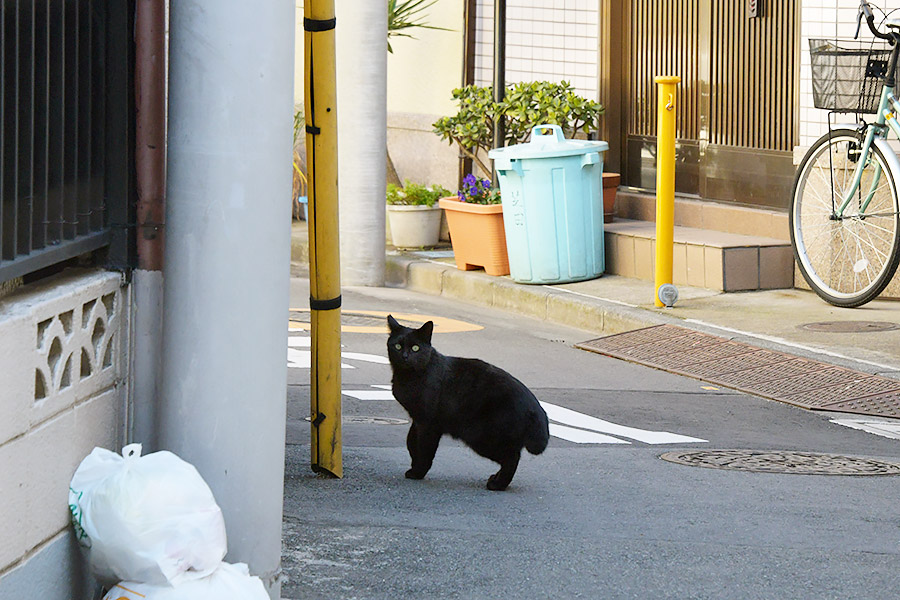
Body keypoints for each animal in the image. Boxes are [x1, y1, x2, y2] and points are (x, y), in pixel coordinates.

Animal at [386, 316, 548, 490]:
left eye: (415, 348)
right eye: (397, 346)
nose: (405, 356)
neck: (410, 376)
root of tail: (536, 408)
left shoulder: (428, 423)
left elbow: (424, 450)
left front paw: (417, 472)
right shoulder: (417, 419)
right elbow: (410, 441)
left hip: (480, 436)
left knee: (512, 458)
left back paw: (497, 484)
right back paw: (496, 478)